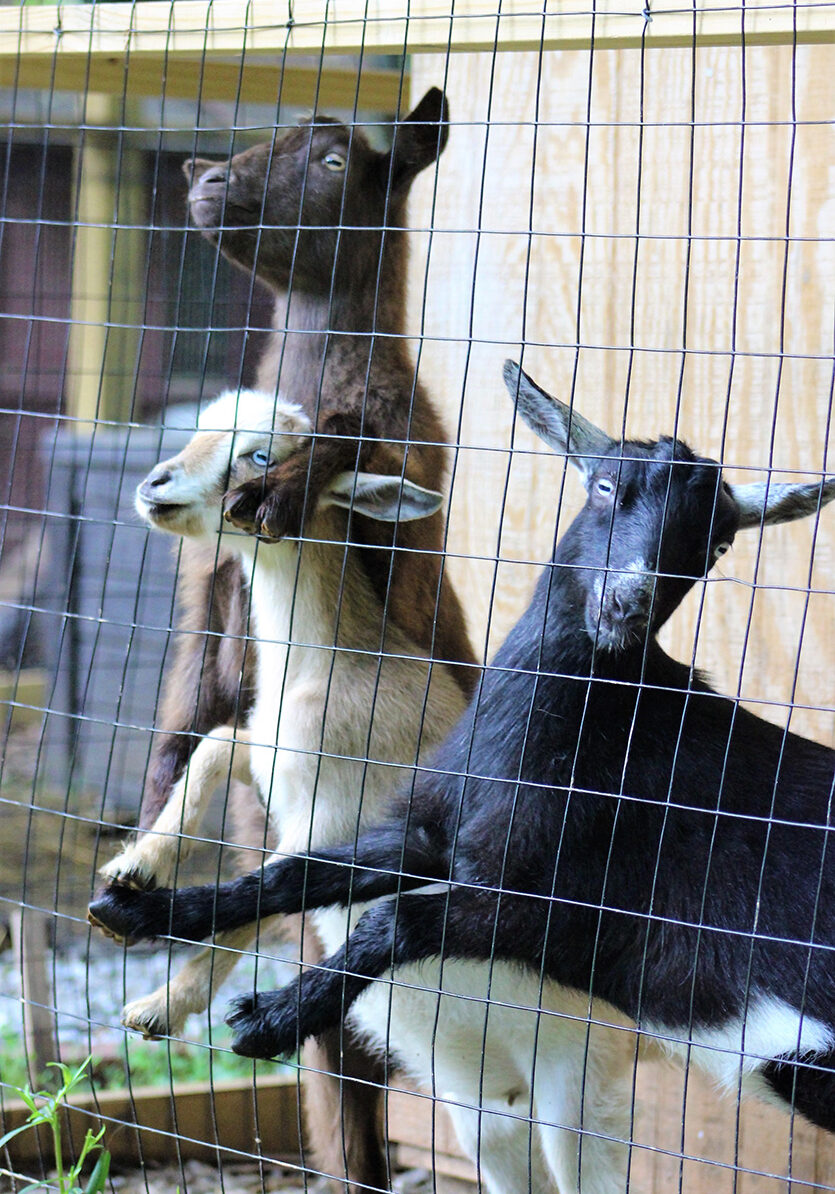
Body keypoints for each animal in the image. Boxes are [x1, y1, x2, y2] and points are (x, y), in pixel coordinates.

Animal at [91, 363, 835, 1192]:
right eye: (604, 485)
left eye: (717, 541)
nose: (626, 603)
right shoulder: (431, 830)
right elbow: (299, 872)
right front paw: (137, 905)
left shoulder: (551, 906)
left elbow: (392, 918)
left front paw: (269, 1017)